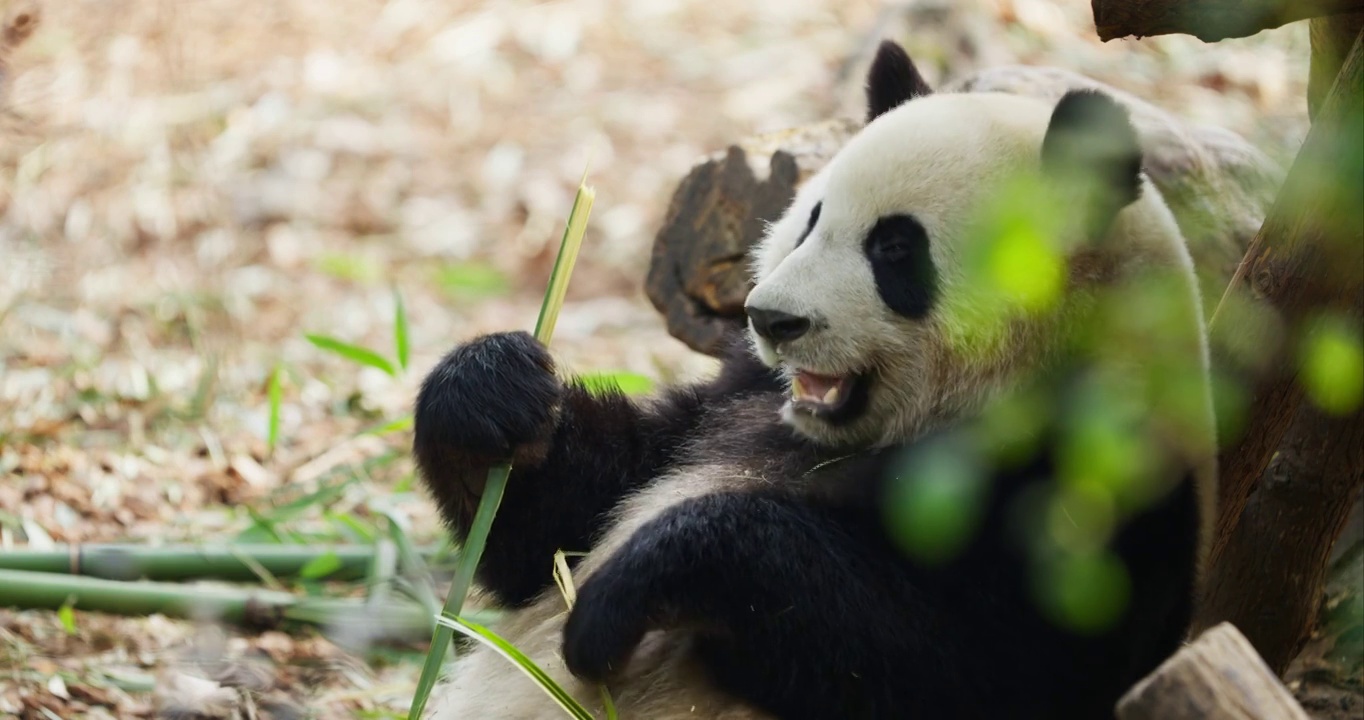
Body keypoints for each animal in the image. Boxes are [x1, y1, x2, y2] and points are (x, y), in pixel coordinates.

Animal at [411, 40, 1216, 720]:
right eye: (811, 219)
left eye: (895, 249)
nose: (770, 318)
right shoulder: (734, 402)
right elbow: (560, 529)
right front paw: (493, 394)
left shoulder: (1090, 486)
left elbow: (966, 668)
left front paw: (620, 600)